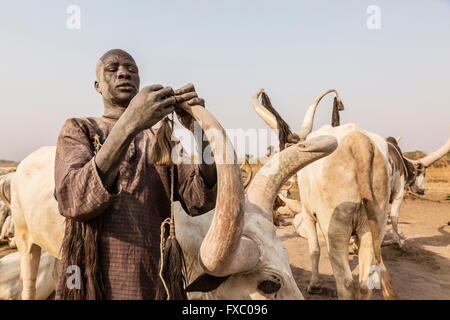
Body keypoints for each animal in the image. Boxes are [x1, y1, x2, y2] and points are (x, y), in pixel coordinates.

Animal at [253, 88, 398, 300]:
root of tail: (358, 141)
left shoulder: (308, 213)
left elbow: (314, 250)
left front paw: (314, 285)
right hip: (374, 224)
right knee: (365, 283)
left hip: (335, 226)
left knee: (346, 283)